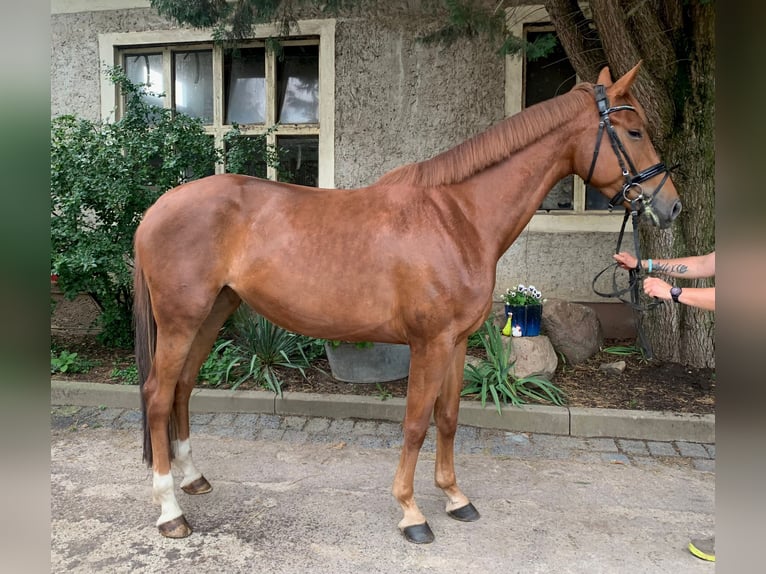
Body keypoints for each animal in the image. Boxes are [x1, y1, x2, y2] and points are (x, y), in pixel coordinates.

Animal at [134, 63, 684, 544]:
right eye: (635, 132)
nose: (671, 205)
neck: (457, 218)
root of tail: (157, 209)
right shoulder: (430, 342)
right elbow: (417, 423)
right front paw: (412, 513)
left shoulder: (457, 342)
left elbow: (449, 418)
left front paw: (456, 498)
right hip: (181, 320)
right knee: (159, 395)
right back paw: (169, 511)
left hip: (213, 313)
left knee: (183, 388)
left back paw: (193, 479)